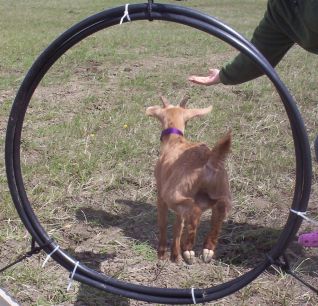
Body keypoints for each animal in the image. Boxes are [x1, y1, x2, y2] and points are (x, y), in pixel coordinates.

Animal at [146, 97, 231, 264]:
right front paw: (175, 255)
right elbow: (178, 227)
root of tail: (209, 160)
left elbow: (163, 223)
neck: (175, 141)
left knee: (194, 210)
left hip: (174, 194)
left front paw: (162, 252)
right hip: (220, 190)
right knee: (219, 208)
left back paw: (188, 250)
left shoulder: (160, 195)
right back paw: (206, 249)